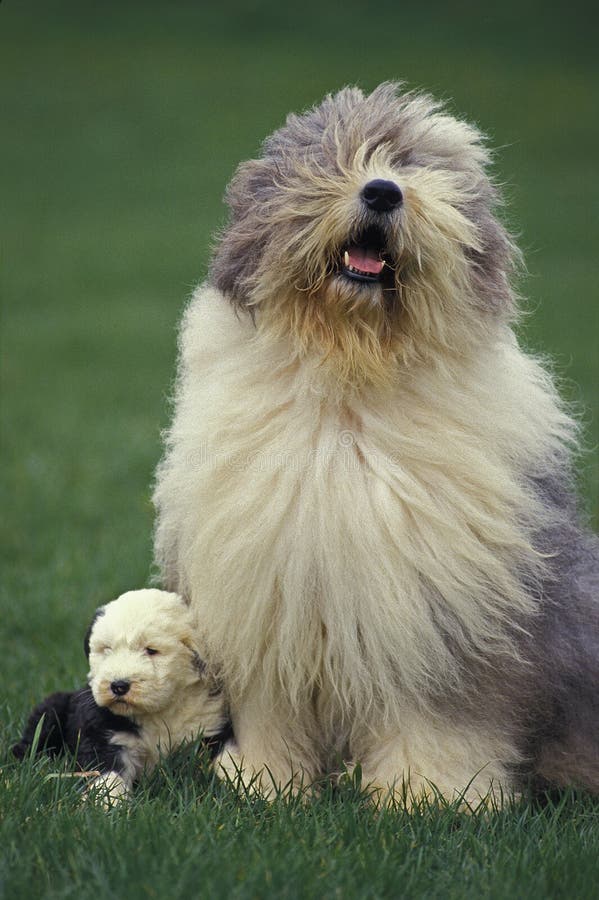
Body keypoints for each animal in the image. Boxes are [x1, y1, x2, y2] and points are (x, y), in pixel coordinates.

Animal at [14, 588, 230, 804]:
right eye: (107, 649)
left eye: (151, 650)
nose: (118, 686)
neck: (159, 713)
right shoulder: (104, 734)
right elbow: (107, 773)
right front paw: (108, 804)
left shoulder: (209, 726)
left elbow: (227, 757)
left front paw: (238, 786)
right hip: (53, 709)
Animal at [154, 81, 599, 804]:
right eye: (335, 157)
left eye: (413, 164)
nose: (384, 192)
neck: (351, 378)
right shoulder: (267, 591)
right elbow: (270, 707)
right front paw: (263, 783)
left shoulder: (443, 611)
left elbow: (437, 716)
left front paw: (430, 797)